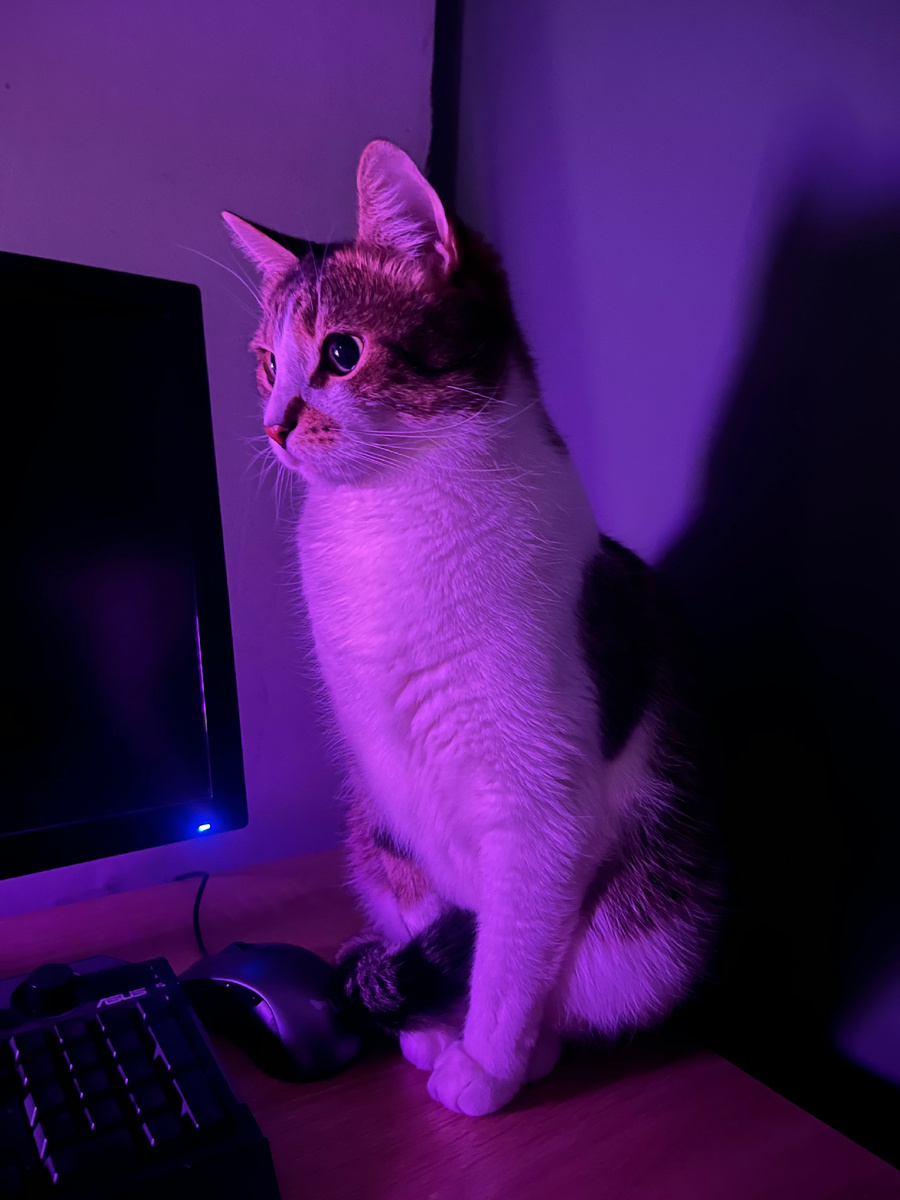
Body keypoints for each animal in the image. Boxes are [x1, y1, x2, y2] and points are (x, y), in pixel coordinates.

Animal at [223, 140, 720, 1117]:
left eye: (341, 352)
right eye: (265, 362)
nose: (273, 424)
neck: (387, 520)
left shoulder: (542, 812)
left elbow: (511, 957)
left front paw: (488, 1062)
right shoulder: (393, 794)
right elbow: (439, 913)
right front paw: (433, 1025)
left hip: (652, 926)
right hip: (367, 827)